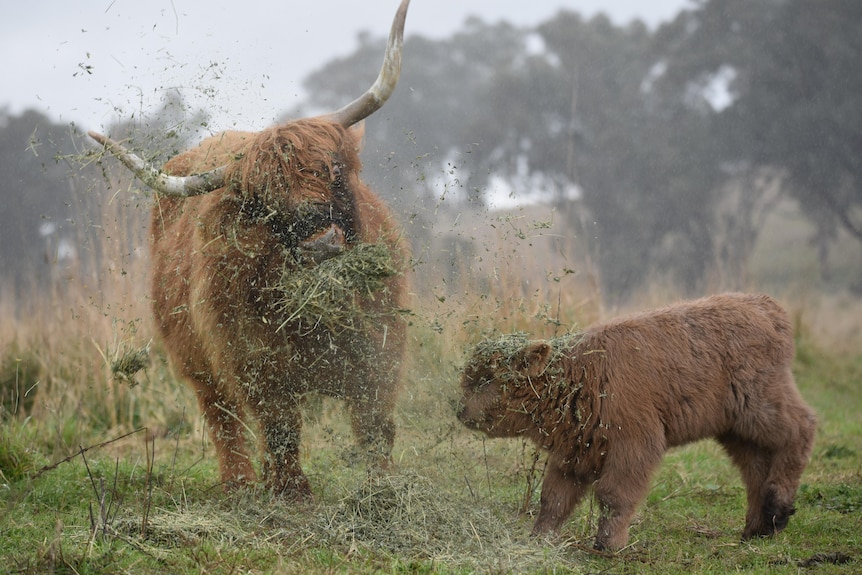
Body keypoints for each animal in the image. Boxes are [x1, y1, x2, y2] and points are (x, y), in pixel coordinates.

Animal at [89, 1, 414, 500]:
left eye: (332, 169)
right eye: (264, 202)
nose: (321, 242)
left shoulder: (379, 346)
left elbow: (373, 422)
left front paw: (383, 489)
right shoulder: (253, 358)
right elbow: (279, 424)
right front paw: (291, 490)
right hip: (196, 360)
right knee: (223, 418)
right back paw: (239, 483)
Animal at [460, 294, 816, 552]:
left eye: (487, 380)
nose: (460, 410)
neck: (581, 373)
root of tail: (768, 307)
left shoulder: (634, 444)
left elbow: (613, 496)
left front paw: (608, 545)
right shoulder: (574, 453)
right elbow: (553, 499)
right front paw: (538, 539)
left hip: (759, 407)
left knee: (802, 428)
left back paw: (778, 509)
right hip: (734, 431)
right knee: (755, 467)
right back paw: (758, 529)